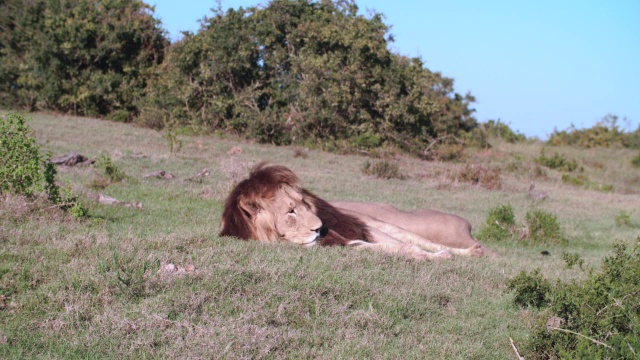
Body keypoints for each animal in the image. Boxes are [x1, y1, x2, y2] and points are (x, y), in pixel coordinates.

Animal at [220, 164, 484, 262]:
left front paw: (436, 257)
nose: (320, 227)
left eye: (304, 203)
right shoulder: (343, 243)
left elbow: (407, 247)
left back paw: (471, 251)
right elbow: (394, 250)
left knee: (423, 241)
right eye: (290, 211)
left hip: (379, 224)